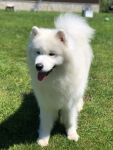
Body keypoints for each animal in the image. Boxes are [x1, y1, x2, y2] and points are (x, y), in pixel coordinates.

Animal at [27, 13, 93, 146]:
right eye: (38, 52)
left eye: (52, 54)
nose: (38, 66)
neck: (56, 79)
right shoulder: (46, 104)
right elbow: (45, 123)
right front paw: (43, 139)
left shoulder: (69, 104)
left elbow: (71, 121)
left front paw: (72, 134)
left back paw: (79, 105)